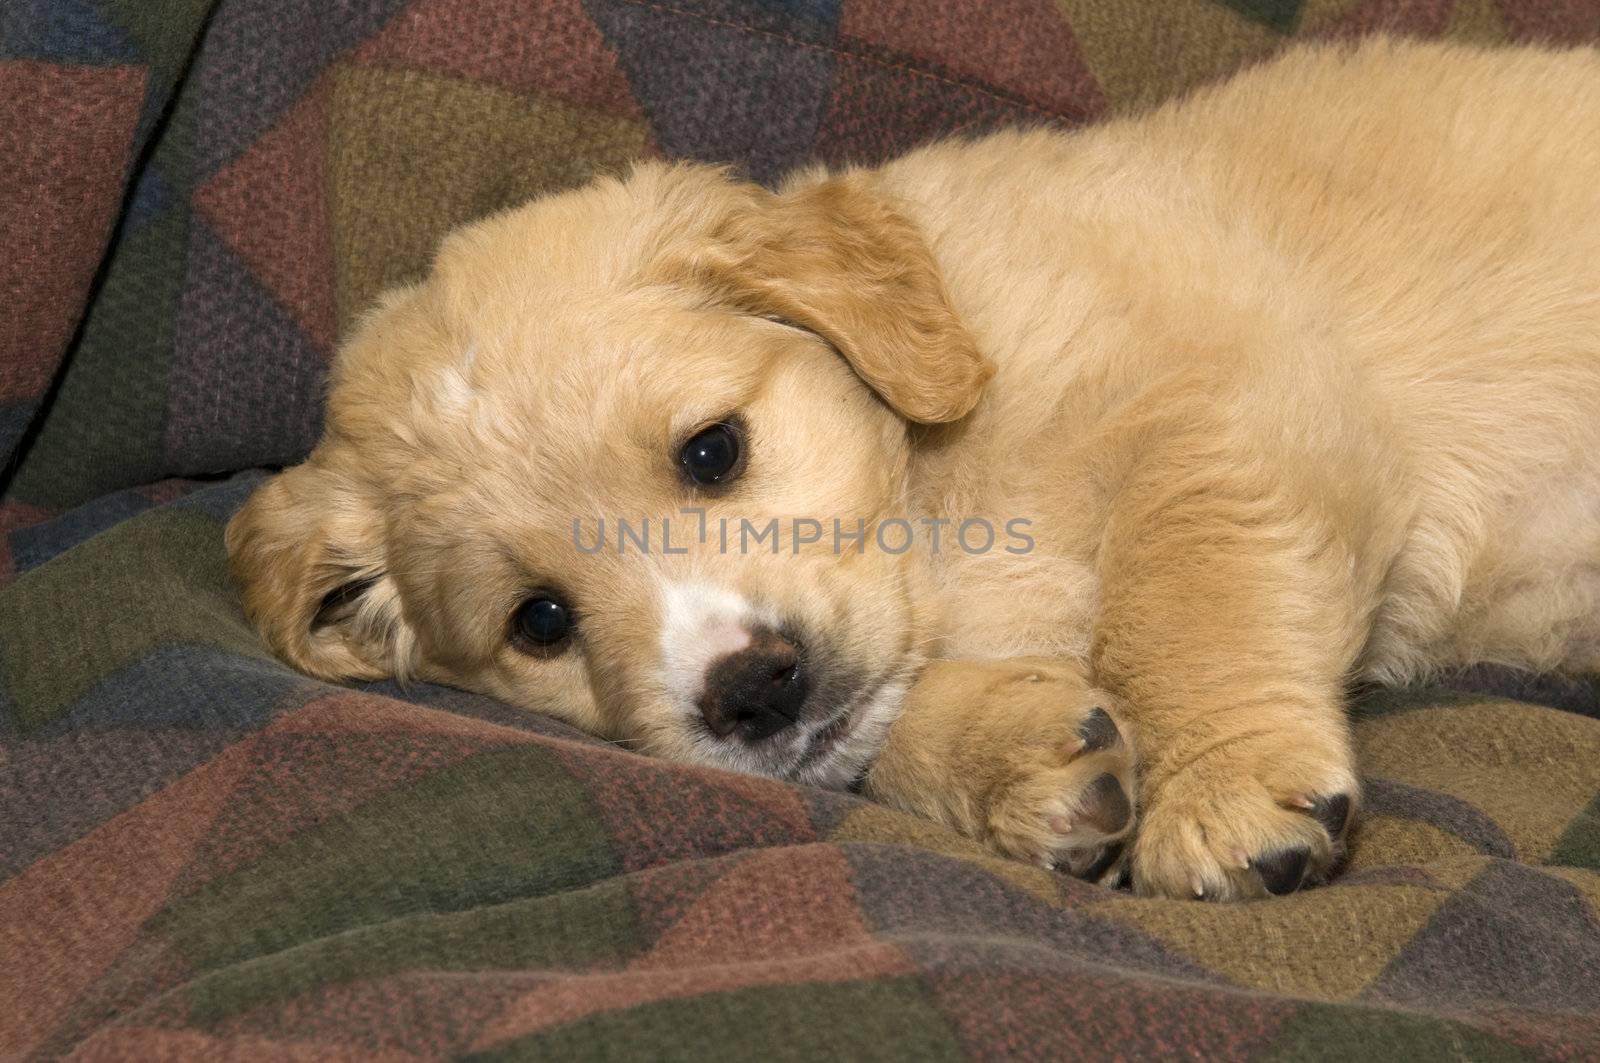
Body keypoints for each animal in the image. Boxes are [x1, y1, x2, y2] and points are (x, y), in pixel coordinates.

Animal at [225, 41, 1600, 902]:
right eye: (541, 623)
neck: (939, 503)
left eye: (713, 450)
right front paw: (1012, 751)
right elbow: (867, 735)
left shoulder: (1234, 402)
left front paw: (1218, 782)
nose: (749, 690)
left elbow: (1184, 589)